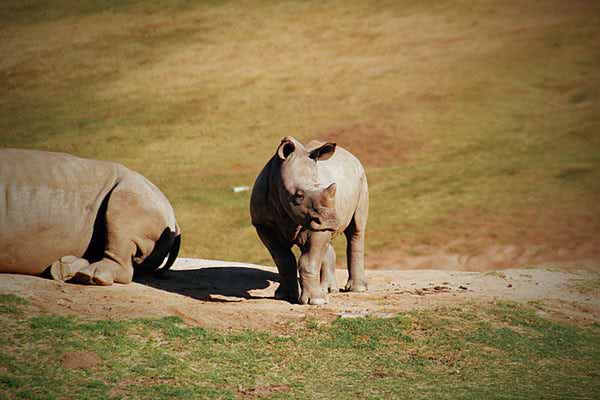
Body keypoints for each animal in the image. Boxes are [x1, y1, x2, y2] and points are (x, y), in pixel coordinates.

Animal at [250, 136, 370, 304]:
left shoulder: (317, 221)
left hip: (361, 178)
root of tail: (352, 156)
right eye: (298, 195)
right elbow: (283, 259)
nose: (331, 220)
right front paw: (284, 296)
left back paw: (357, 289)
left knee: (356, 230)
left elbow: (308, 261)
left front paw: (316, 301)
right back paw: (327, 290)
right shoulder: (263, 224)